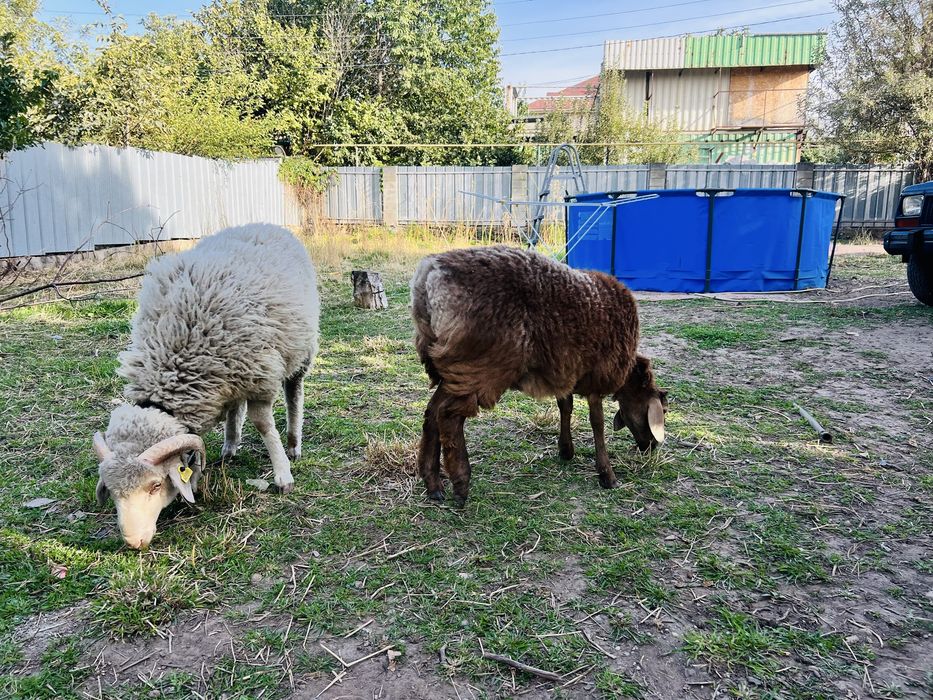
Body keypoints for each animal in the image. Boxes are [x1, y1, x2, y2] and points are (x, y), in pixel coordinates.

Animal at [92, 224, 319, 549]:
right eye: (111, 491)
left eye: (155, 485)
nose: (134, 542)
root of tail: (264, 224)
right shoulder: (226, 373)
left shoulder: (260, 372)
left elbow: (264, 425)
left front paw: (283, 475)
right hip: (232, 374)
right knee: (234, 407)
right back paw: (230, 445)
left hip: (299, 347)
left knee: (294, 394)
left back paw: (293, 442)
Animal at [410, 245, 667, 505]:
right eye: (663, 412)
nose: (650, 448)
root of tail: (430, 274)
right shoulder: (596, 375)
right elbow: (597, 422)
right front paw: (607, 474)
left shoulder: (566, 370)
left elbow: (566, 406)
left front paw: (566, 450)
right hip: (477, 365)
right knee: (449, 416)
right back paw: (461, 483)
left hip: (453, 367)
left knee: (432, 413)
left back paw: (433, 484)